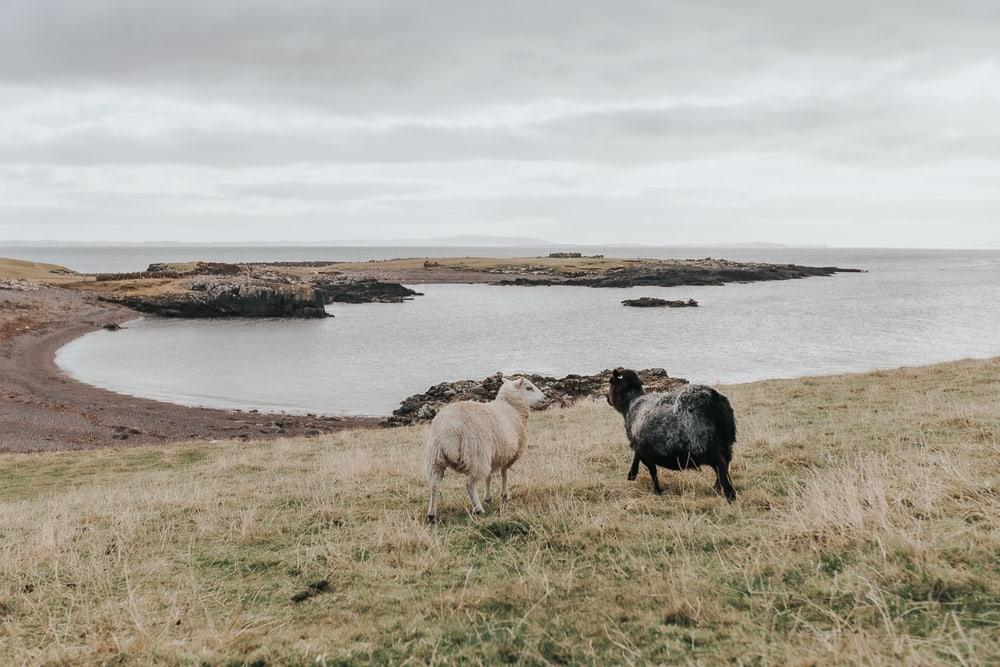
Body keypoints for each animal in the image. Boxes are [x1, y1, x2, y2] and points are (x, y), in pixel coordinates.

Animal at [424, 376, 548, 520]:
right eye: (529, 388)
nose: (545, 397)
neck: (511, 408)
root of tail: (449, 429)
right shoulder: (509, 454)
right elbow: (504, 473)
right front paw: (504, 495)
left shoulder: (493, 455)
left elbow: (488, 476)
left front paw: (488, 497)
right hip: (476, 455)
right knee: (469, 485)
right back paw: (478, 509)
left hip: (436, 457)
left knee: (434, 484)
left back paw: (431, 514)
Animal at [604, 370, 740, 500]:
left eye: (611, 381)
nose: (607, 398)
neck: (632, 403)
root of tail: (712, 397)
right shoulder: (641, 448)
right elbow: (639, 459)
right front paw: (632, 474)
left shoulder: (644, 450)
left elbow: (652, 472)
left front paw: (657, 491)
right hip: (726, 441)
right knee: (725, 463)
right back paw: (718, 488)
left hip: (702, 443)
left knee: (720, 464)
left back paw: (730, 495)